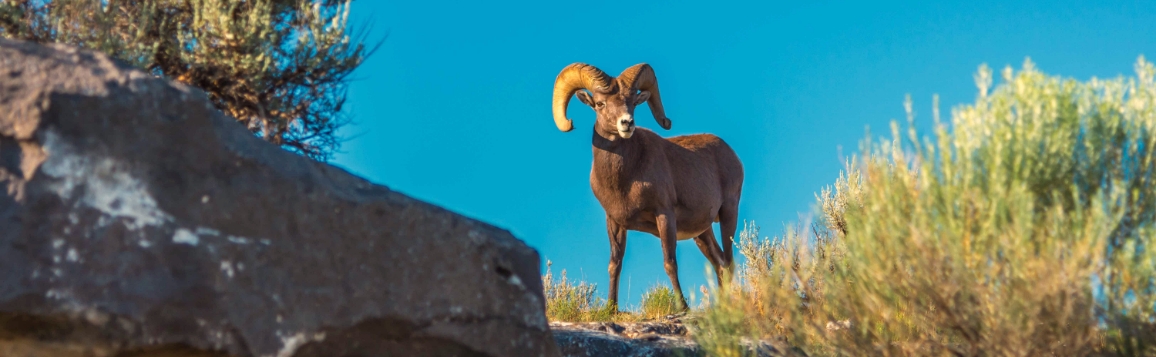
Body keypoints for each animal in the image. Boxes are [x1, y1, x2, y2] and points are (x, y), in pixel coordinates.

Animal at [552, 61, 749, 309]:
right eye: (599, 103)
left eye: (632, 102)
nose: (627, 123)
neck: (624, 179)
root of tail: (732, 156)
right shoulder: (614, 222)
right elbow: (614, 264)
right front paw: (611, 308)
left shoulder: (664, 215)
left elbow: (669, 263)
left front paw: (683, 307)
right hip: (702, 233)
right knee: (719, 263)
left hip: (728, 214)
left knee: (729, 263)